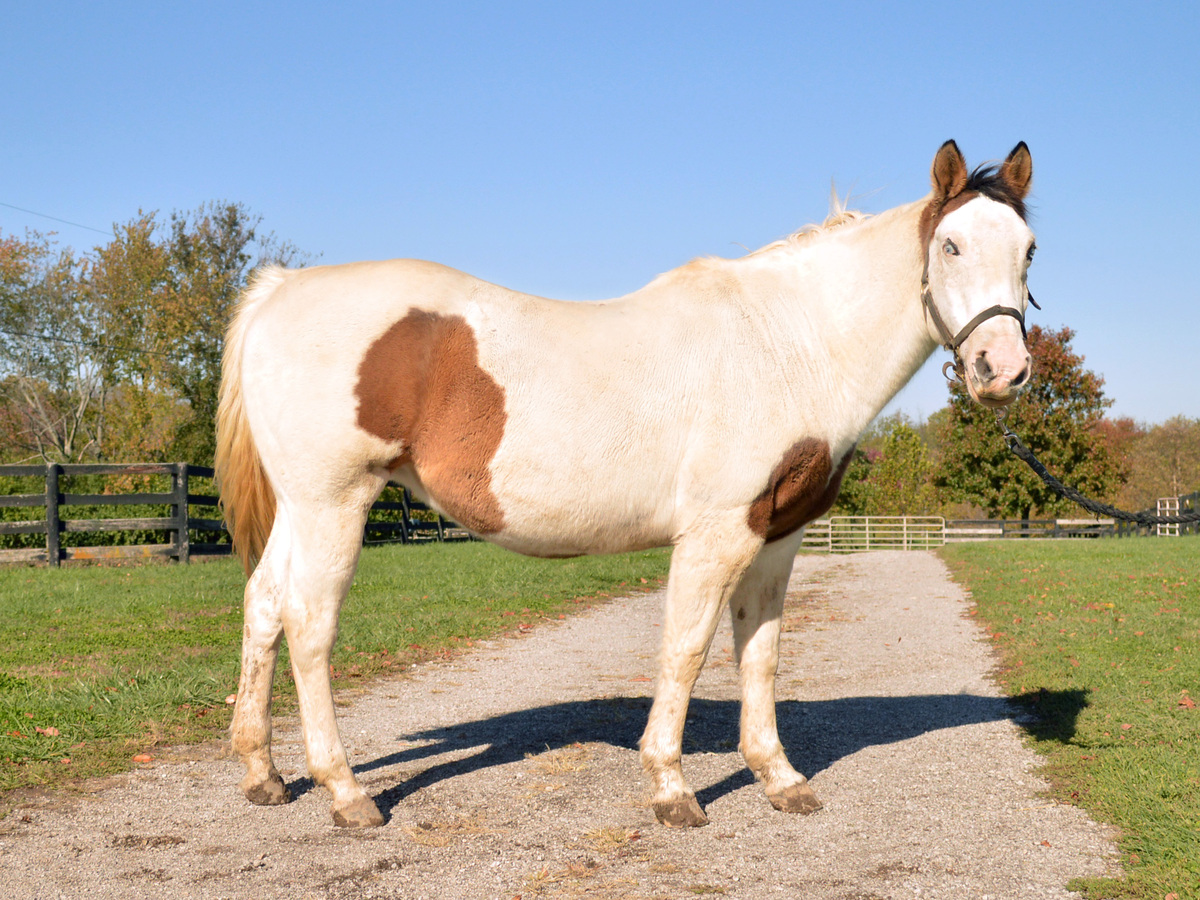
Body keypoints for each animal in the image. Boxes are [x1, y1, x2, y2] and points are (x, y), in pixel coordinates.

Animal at [216, 140, 1036, 829]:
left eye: (1029, 250)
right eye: (951, 245)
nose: (1003, 370)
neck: (787, 343)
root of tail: (280, 290)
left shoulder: (777, 537)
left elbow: (759, 653)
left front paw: (779, 778)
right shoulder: (716, 533)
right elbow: (686, 649)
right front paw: (671, 789)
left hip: (300, 511)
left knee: (262, 607)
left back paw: (264, 775)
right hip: (335, 505)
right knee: (309, 626)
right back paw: (347, 793)